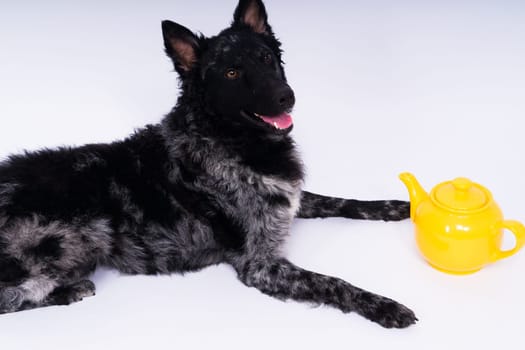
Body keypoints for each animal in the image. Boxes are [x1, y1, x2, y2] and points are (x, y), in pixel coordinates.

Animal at [0, 0, 418, 328]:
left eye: (267, 59)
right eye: (232, 73)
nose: (287, 96)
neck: (226, 139)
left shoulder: (289, 197)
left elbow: (340, 201)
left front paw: (398, 207)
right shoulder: (261, 264)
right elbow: (331, 281)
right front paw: (384, 306)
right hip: (79, 236)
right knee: (12, 298)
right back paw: (70, 291)